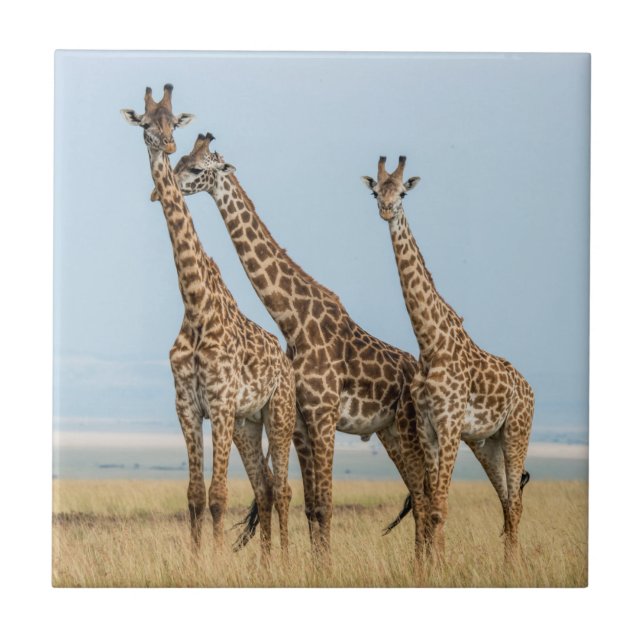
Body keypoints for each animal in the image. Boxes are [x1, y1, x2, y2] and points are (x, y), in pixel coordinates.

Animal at [120, 86, 296, 563]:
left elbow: (218, 495)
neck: (196, 305)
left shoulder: (218, 403)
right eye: (146, 123)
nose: (166, 146)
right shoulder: (186, 406)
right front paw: (198, 560)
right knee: (265, 487)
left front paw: (215, 563)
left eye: (172, 124)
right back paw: (266, 564)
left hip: (279, 413)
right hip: (247, 423)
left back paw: (285, 560)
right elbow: (195, 495)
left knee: (284, 488)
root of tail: (286, 361)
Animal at [165, 133, 430, 564]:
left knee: (425, 495)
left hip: (409, 430)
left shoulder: (323, 415)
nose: (166, 185)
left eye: (196, 167)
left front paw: (324, 568)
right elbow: (311, 504)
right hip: (388, 432)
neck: (293, 320)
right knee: (420, 495)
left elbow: (325, 503)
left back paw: (426, 564)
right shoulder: (304, 422)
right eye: (181, 158)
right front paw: (314, 565)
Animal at [362, 156, 534, 563]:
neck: (430, 344)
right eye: (376, 191)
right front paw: (430, 565)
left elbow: (439, 505)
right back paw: (507, 566)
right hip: (488, 443)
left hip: (517, 431)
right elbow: (432, 504)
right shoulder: (428, 426)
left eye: (403, 193)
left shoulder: (451, 423)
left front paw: (439, 567)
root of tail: (530, 388)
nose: (386, 209)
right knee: (507, 501)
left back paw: (514, 567)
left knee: (516, 503)